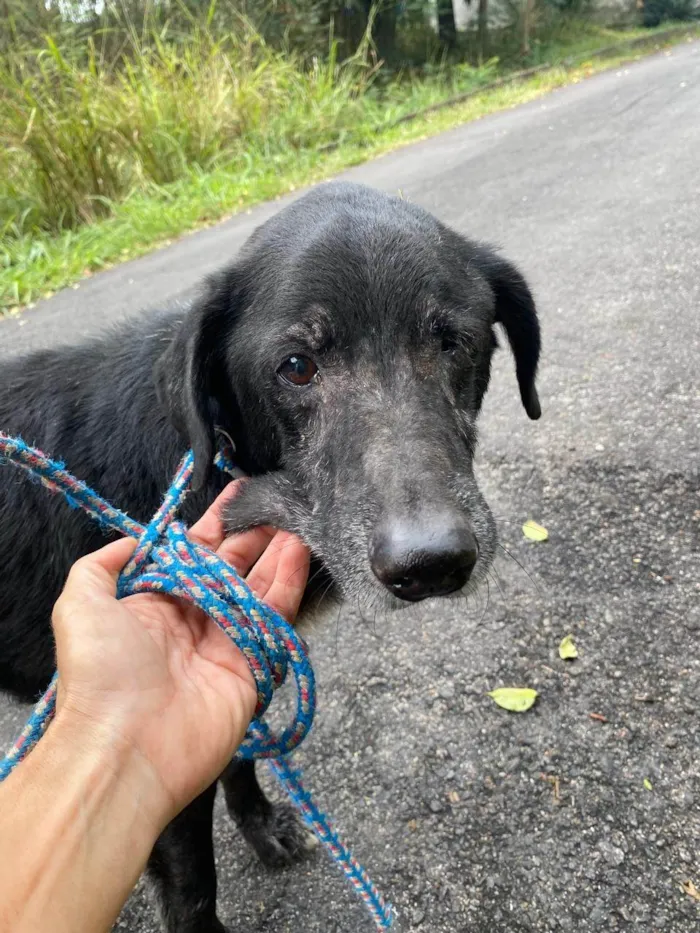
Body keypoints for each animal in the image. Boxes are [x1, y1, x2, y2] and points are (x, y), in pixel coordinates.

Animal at [0, 178, 540, 928]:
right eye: (296, 367)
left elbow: (238, 757)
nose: (431, 563)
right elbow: (195, 886)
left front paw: (260, 828)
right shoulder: (166, 810)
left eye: (452, 342)